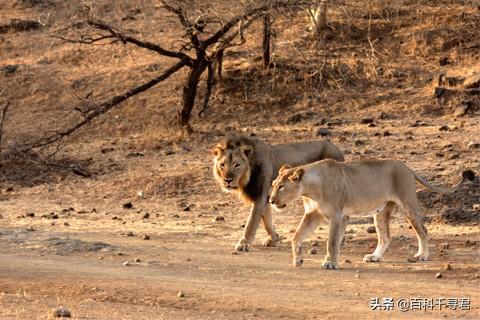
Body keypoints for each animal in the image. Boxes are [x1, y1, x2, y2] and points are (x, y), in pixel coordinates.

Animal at [212, 134, 344, 251]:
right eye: (222, 165)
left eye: (237, 165)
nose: (227, 180)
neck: (248, 174)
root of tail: (337, 149)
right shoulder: (266, 197)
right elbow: (267, 221)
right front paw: (274, 239)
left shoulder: (260, 196)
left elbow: (251, 223)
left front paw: (244, 244)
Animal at [268, 159, 474, 268]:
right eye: (273, 185)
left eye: (281, 187)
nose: (270, 200)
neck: (309, 189)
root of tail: (407, 167)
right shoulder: (313, 214)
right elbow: (297, 236)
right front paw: (298, 259)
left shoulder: (337, 215)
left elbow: (332, 242)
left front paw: (330, 263)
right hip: (381, 212)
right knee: (385, 237)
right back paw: (374, 257)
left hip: (408, 203)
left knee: (422, 230)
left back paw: (421, 256)